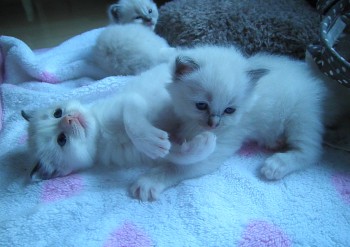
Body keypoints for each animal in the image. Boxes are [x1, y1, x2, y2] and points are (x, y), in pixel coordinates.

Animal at [22, 64, 216, 181]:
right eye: (61, 140)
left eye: (57, 113)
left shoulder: (129, 101)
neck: (102, 135)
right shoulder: (136, 153)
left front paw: (150, 140)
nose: (68, 118)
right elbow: (176, 155)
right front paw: (203, 144)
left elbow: (131, 121)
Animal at [130, 45, 326, 201]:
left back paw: (276, 165)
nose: (214, 124)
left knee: (311, 151)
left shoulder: (222, 143)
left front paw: (149, 181)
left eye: (229, 110)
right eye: (201, 105)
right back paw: (275, 142)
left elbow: (178, 167)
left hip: (300, 117)